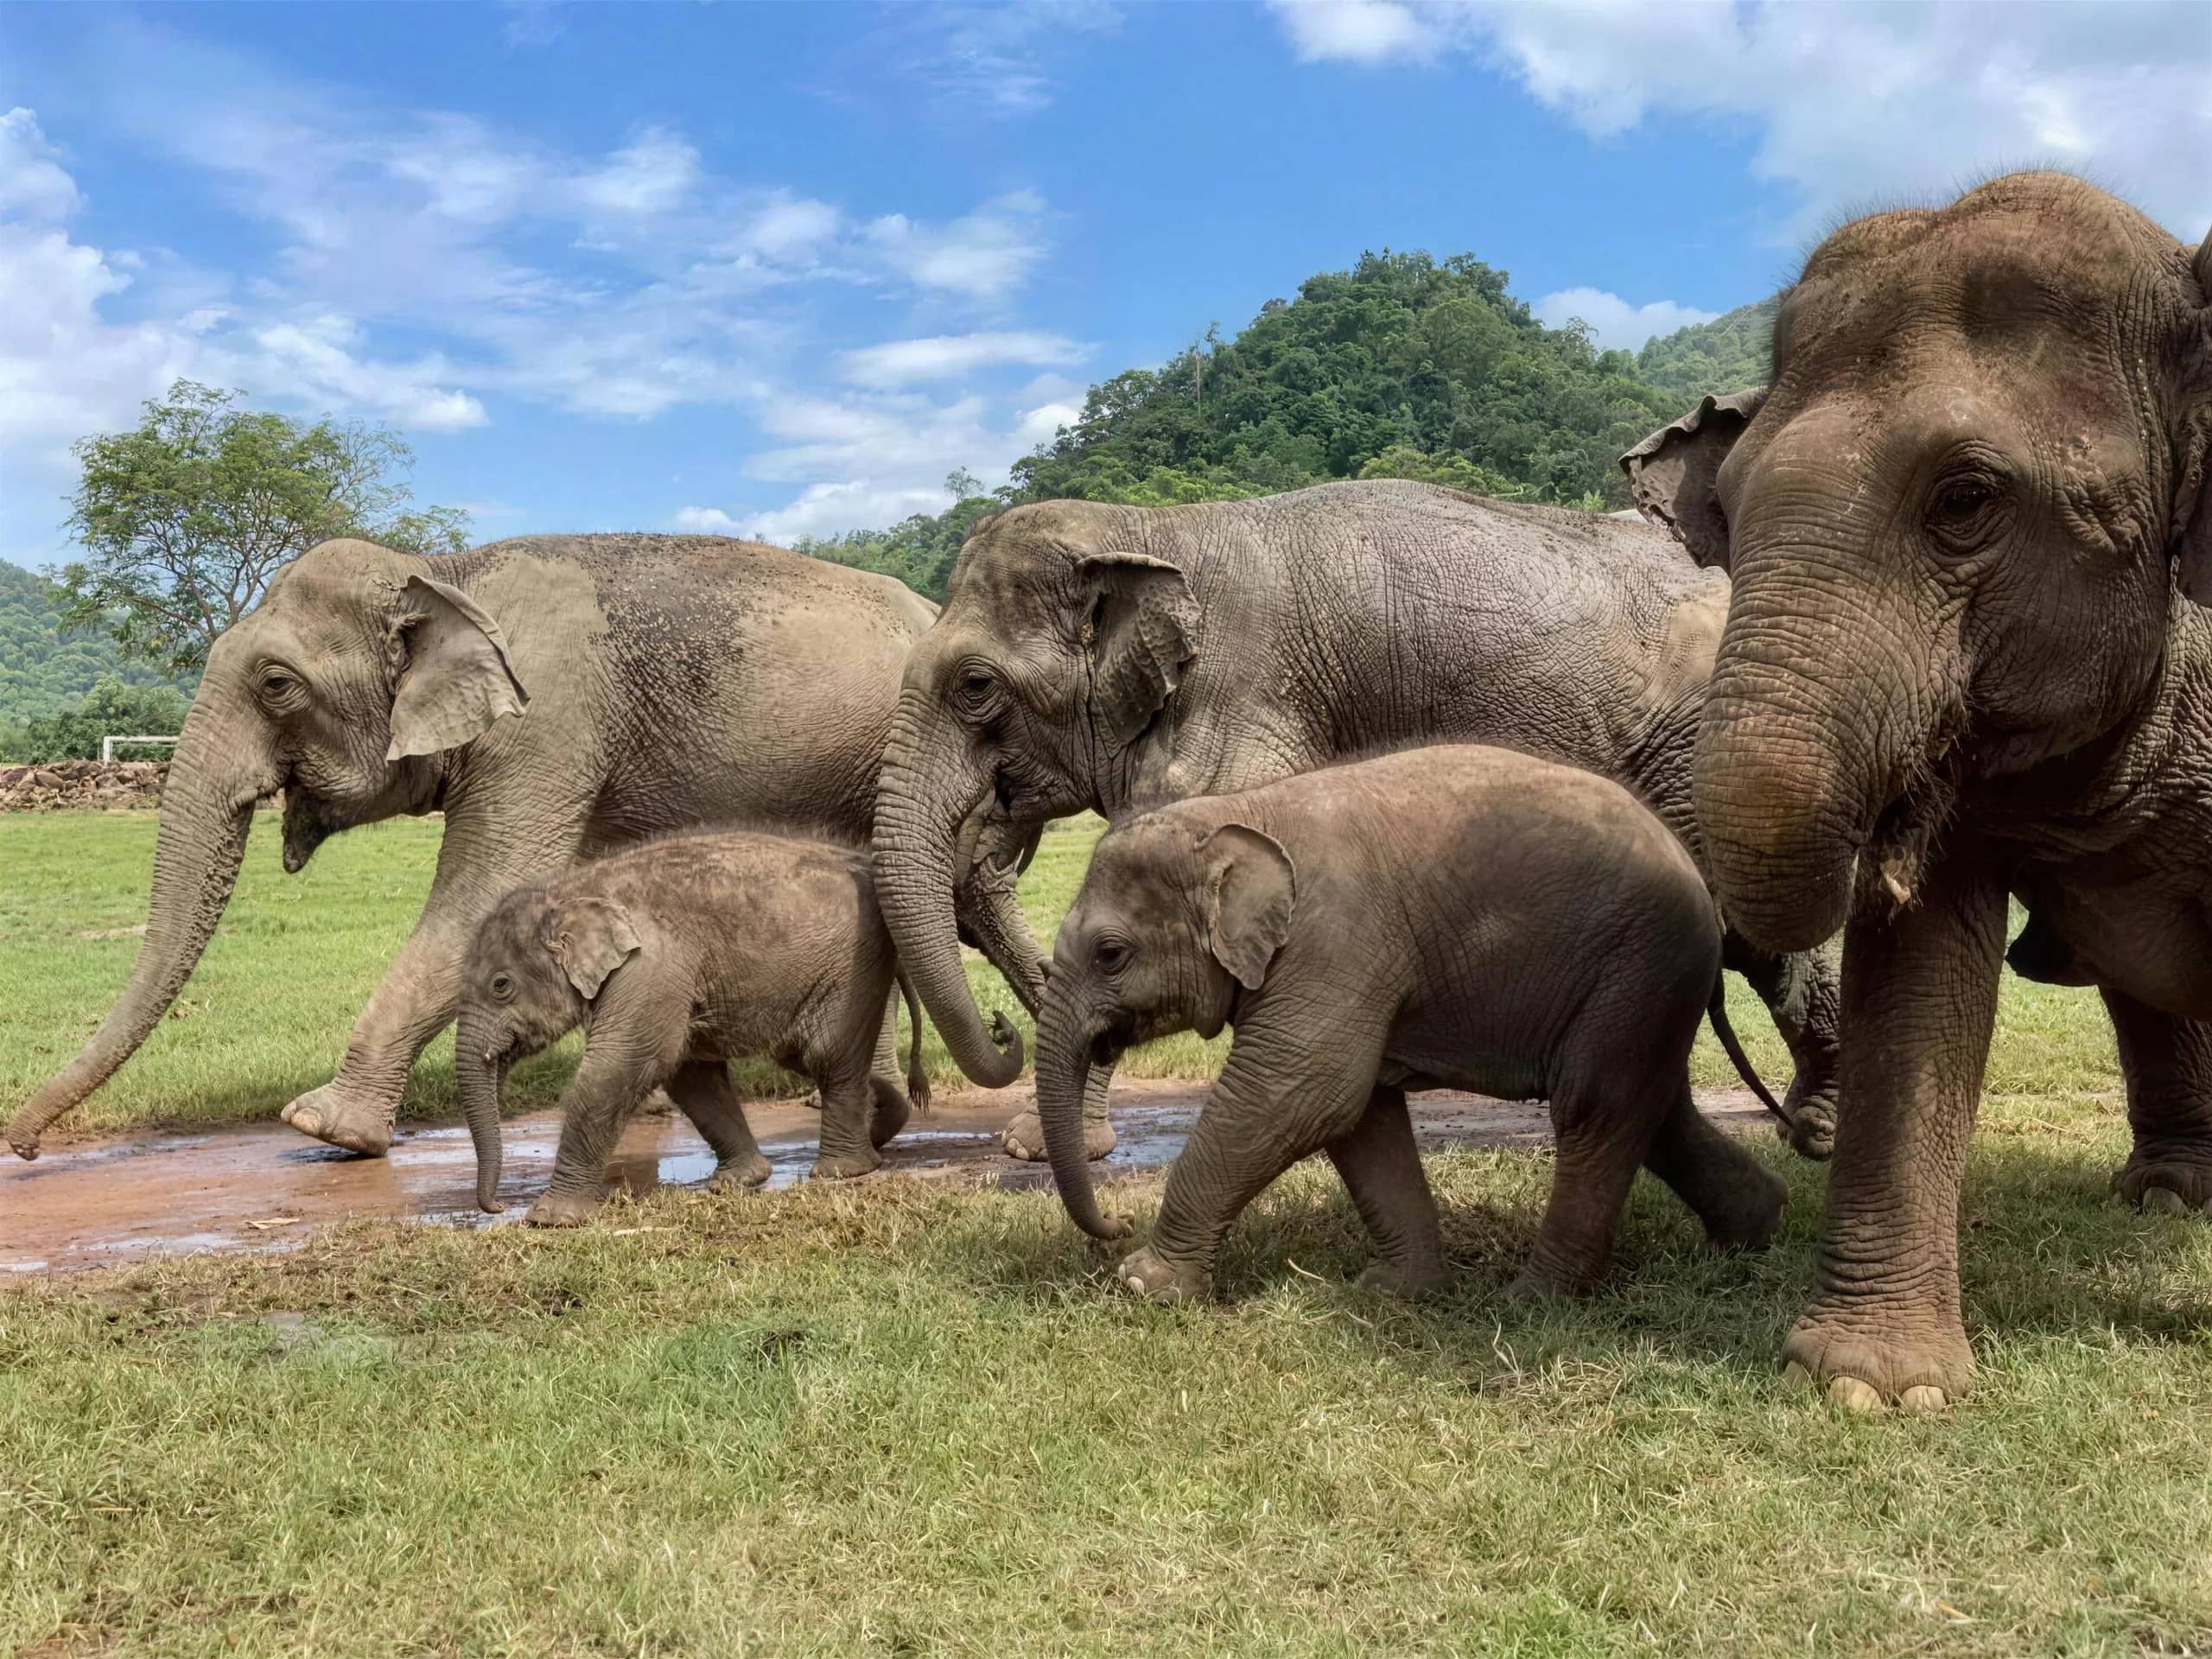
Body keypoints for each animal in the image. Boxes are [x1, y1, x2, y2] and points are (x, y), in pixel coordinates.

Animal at [8, 534, 1038, 1163]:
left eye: (275, 684)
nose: (21, 1142)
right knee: (951, 899)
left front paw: (325, 1127)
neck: (439, 570)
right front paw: (650, 1099)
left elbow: (488, 887)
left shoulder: (546, 721)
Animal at [455, 828, 933, 1226]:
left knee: (826, 1056)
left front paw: (549, 1220)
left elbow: (620, 1067)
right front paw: (737, 1182)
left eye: (501, 986)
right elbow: (689, 1071)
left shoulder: (650, 967)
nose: (497, 1206)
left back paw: (842, 1171)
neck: (569, 889)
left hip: (852, 967)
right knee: (805, 1057)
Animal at [872, 478, 1845, 1163]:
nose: (1004, 1031)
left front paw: (1042, 1148)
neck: (1152, 528)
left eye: (975, 685)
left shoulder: (1242, 713)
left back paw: (1819, 1127)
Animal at [1033, 745, 1789, 1303]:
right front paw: (1395, 1291)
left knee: (1595, 1106)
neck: (1237, 811)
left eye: (1110, 955)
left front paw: (1143, 1286)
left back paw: (1531, 1300)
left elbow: (1303, 1092)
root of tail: (1702, 881)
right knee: (1654, 1112)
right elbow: (1359, 1114)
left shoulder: (1333, 942)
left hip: (1637, 963)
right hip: (1644, 982)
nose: (1116, 1222)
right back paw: (1750, 1236)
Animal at [1620, 172, 2212, 1410]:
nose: (1797, 1137)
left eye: (1965, 497)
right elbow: (1920, 978)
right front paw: (1874, 1389)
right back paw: (2169, 1195)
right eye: (1728, 509)